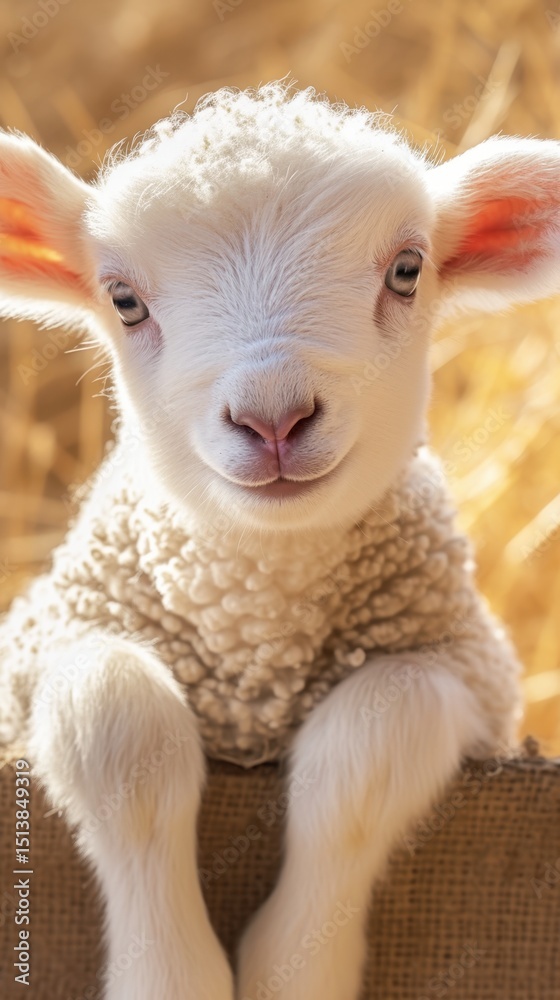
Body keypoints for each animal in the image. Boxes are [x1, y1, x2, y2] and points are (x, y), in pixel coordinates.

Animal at [0, 82, 558, 1000]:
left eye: (408, 270)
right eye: (124, 299)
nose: (273, 419)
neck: (258, 625)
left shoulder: (467, 677)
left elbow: (369, 748)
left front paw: (294, 966)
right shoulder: (47, 650)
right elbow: (124, 727)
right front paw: (172, 975)